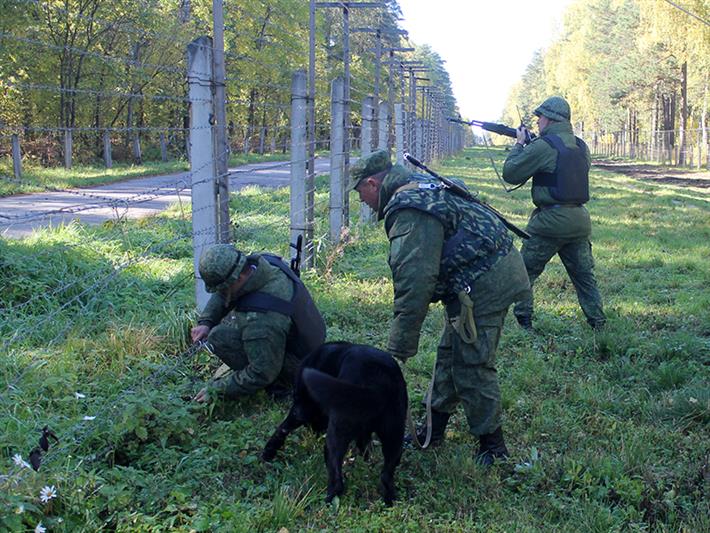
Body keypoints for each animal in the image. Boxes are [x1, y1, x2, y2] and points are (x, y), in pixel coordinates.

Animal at [262, 338, 408, 504]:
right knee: (386, 476)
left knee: (337, 478)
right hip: (394, 436)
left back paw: (327, 500)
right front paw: (365, 460)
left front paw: (268, 452)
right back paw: (389, 500)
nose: (314, 431)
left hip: (336, 434)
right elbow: (364, 445)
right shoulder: (365, 433)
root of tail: (378, 381)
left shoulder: (301, 409)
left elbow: (283, 428)